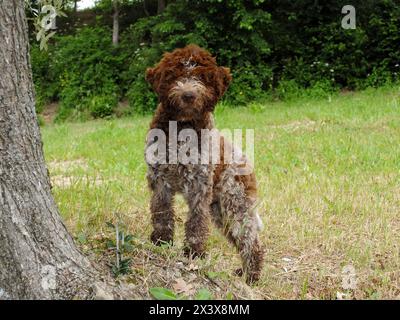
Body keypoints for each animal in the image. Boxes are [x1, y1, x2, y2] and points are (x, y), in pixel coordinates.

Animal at [145, 43, 264, 284]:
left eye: (201, 77)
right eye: (175, 75)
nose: (188, 95)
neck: (182, 128)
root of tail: (245, 158)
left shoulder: (199, 186)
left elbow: (196, 221)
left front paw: (194, 252)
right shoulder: (160, 181)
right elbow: (161, 213)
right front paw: (161, 242)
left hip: (235, 203)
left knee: (251, 240)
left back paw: (251, 276)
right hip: (219, 210)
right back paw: (245, 273)